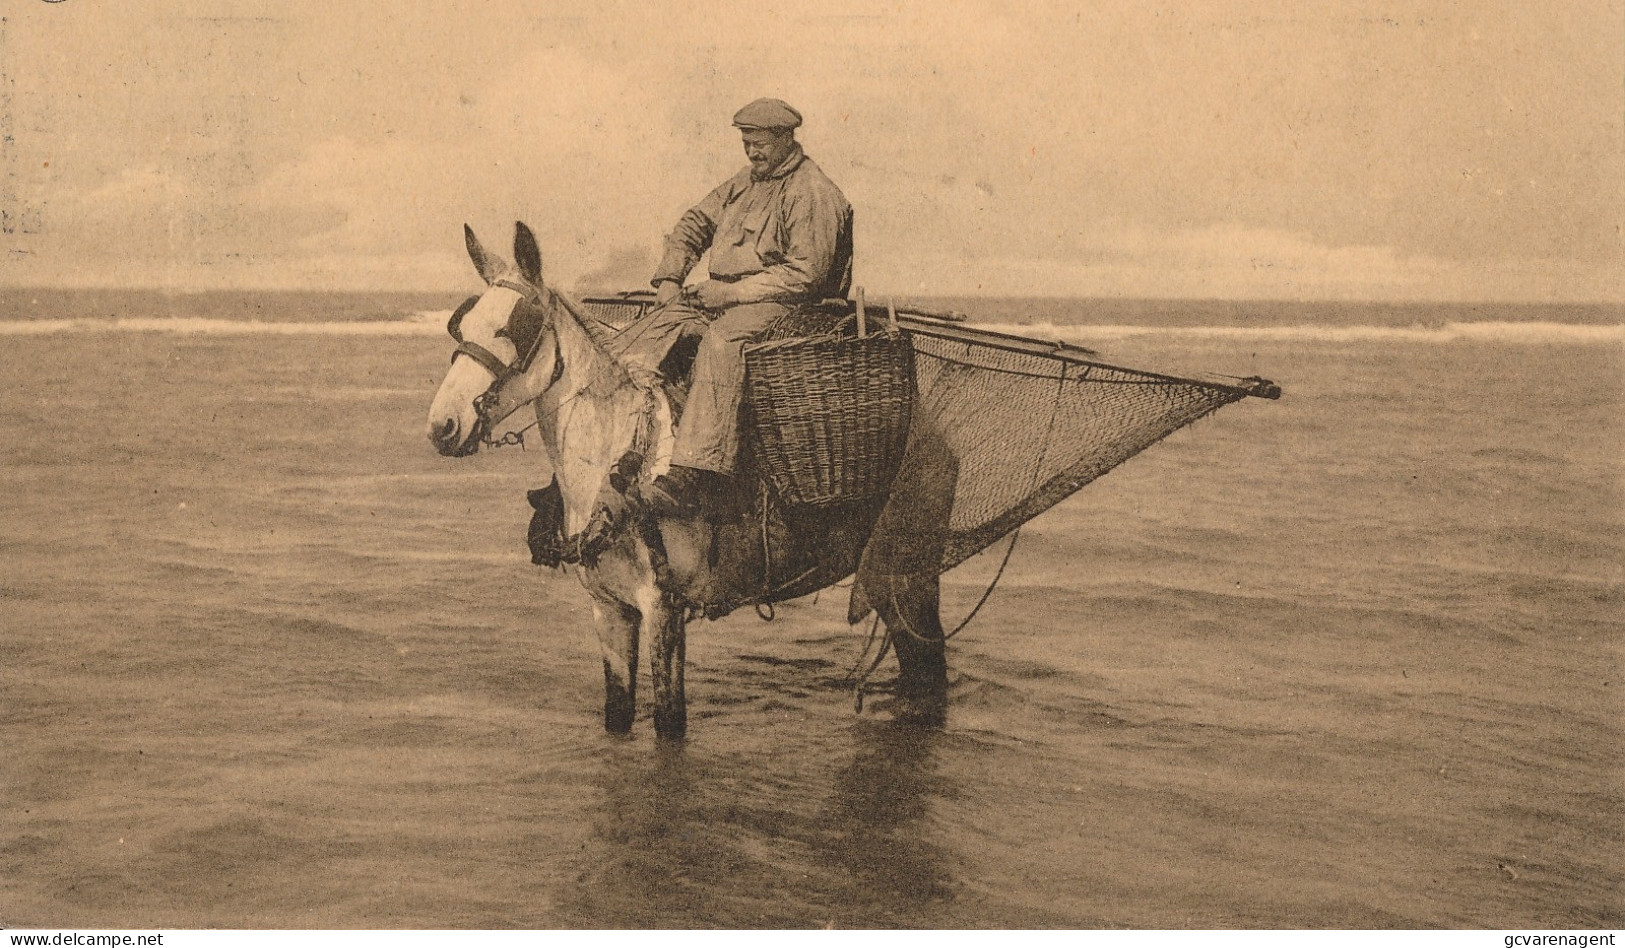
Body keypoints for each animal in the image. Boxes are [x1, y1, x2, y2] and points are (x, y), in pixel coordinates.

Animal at [425, 224, 949, 741]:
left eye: (512, 328)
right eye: (461, 326)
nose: (443, 426)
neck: (621, 473)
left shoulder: (662, 608)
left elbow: (668, 721)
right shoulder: (610, 610)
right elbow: (618, 712)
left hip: (908, 579)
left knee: (929, 667)